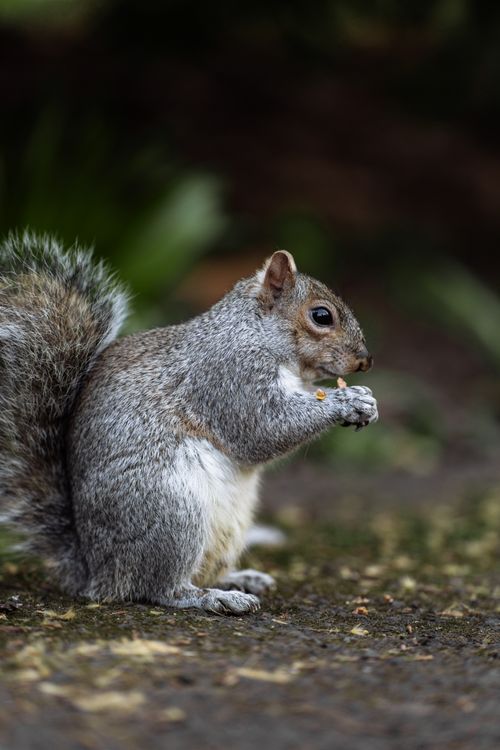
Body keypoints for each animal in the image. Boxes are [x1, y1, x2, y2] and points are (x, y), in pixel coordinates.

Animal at [0, 232, 378, 615]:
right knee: (160, 587)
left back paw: (241, 579)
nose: (365, 360)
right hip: (171, 512)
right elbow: (264, 428)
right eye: (321, 316)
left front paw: (365, 399)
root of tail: (96, 572)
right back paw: (214, 597)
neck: (254, 333)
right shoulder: (228, 377)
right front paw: (346, 401)